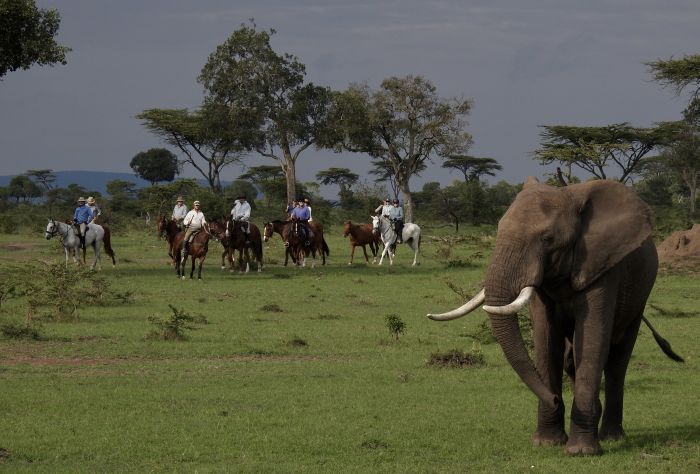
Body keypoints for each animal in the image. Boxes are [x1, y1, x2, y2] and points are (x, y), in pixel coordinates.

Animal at [430, 178, 680, 456]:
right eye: (498, 229)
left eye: (548, 239)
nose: (555, 399)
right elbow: (545, 337)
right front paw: (547, 442)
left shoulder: (601, 267)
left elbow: (592, 338)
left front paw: (581, 452)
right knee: (571, 359)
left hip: (639, 297)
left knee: (617, 360)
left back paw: (612, 437)